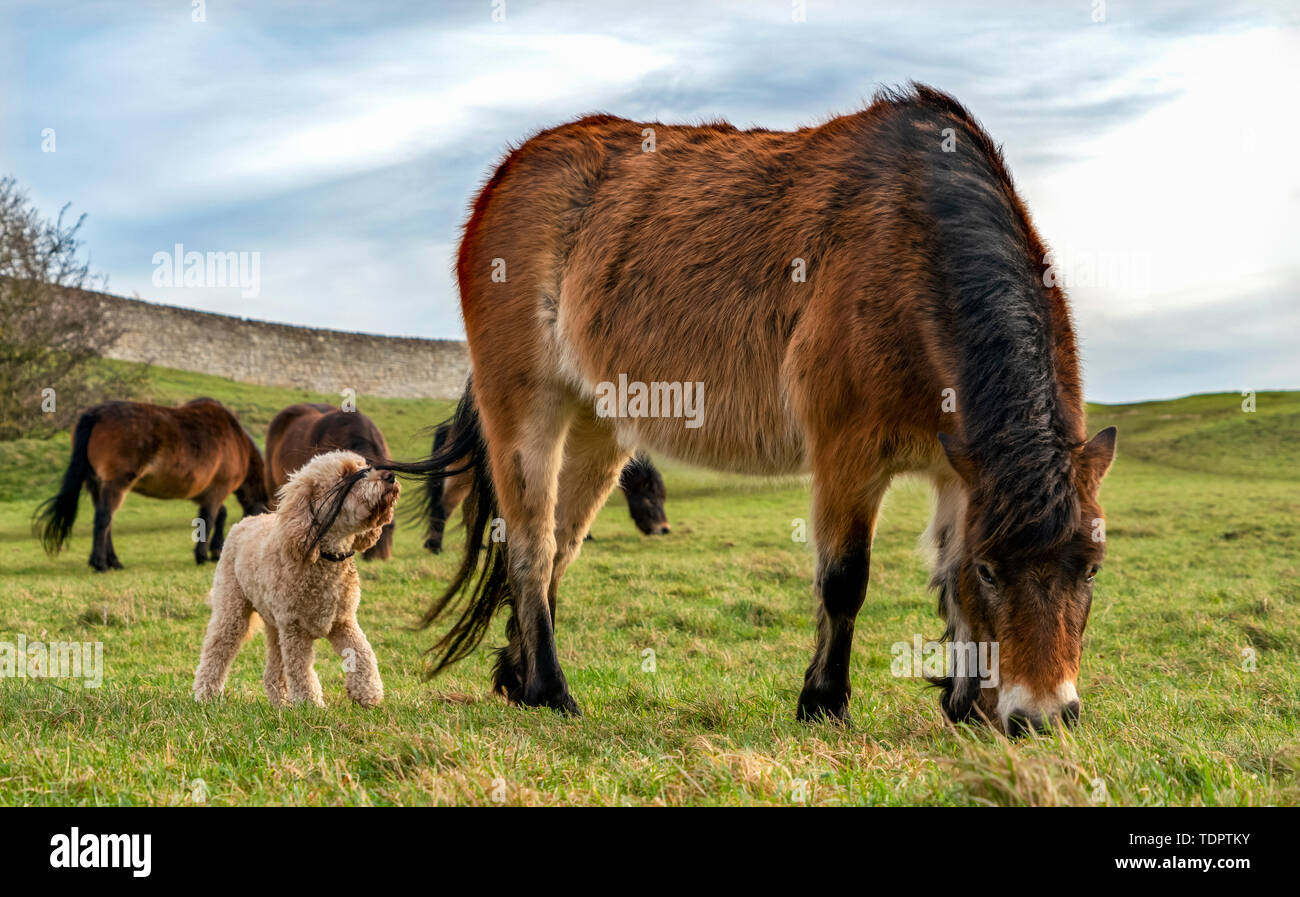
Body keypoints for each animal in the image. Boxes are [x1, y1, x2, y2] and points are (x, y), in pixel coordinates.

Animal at [36, 397, 269, 569]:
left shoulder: (209, 493)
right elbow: (210, 519)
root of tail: (97, 414)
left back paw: (113, 561)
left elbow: (219, 516)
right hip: (115, 484)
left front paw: (216, 549)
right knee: (104, 519)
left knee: (106, 520)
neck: (236, 441)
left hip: (97, 485)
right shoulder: (217, 490)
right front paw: (203, 555)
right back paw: (100, 563)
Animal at [191, 447, 395, 707]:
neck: (324, 557)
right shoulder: (294, 629)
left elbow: (362, 653)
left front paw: (368, 693)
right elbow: (301, 670)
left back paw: (280, 702)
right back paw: (205, 695)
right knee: (216, 651)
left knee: (272, 670)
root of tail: (244, 523)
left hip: (273, 624)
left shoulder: (342, 621)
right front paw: (310, 704)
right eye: (345, 475)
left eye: (364, 467)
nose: (390, 476)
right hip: (233, 610)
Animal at [382, 82, 1118, 733]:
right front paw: (824, 703)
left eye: (1091, 566)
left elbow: (947, 572)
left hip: (597, 426)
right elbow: (846, 579)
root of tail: (509, 173)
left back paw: (517, 676)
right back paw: (550, 690)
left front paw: (964, 704)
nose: (1044, 717)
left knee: (561, 543)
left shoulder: (956, 469)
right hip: (526, 407)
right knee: (531, 545)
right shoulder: (848, 453)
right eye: (996, 570)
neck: (913, 244)